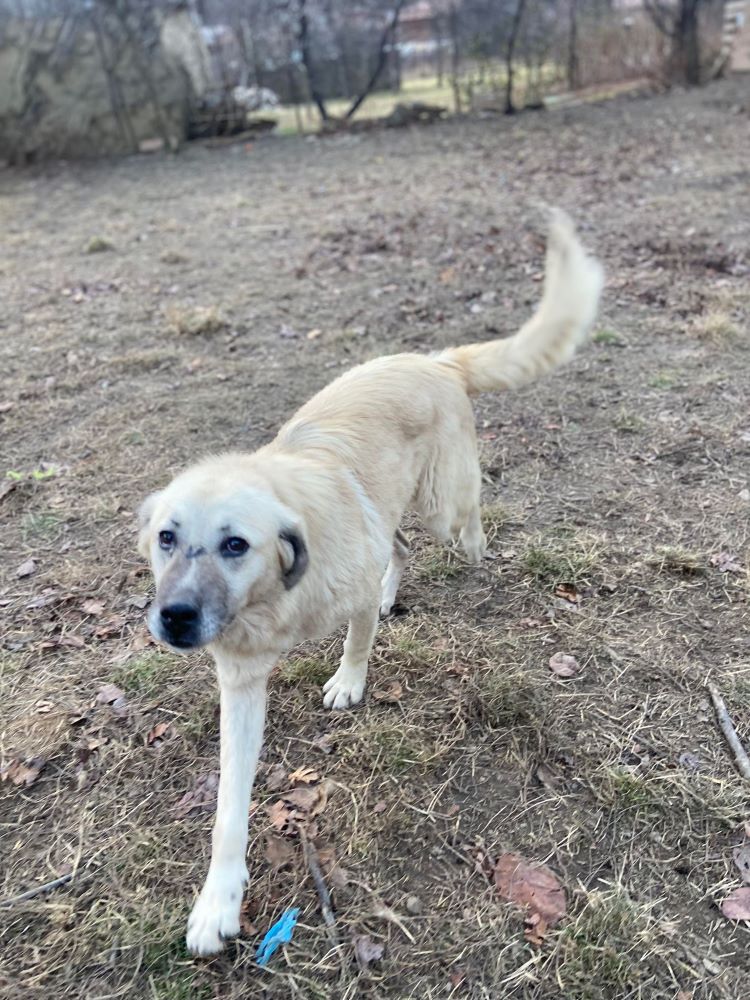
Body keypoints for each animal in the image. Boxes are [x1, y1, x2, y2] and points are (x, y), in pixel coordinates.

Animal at [137, 209, 604, 952]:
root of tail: (435, 359)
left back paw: (472, 553)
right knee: (399, 547)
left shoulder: (341, 599)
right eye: (166, 539)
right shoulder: (240, 684)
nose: (174, 617)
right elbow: (229, 809)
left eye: (236, 545)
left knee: (466, 522)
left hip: (443, 505)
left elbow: (356, 642)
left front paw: (349, 683)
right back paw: (395, 588)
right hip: (397, 513)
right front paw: (218, 900)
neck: (278, 597)